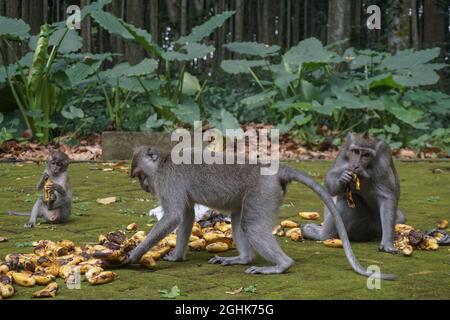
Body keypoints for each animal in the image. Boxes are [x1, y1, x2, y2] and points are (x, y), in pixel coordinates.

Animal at [125, 146, 394, 278]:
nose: (144, 186)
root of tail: (275, 170)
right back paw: (243, 258)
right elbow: (187, 215)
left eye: (140, 175)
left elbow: (173, 217)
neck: (163, 162)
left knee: (251, 226)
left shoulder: (167, 181)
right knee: (239, 219)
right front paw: (176, 256)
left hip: (264, 192)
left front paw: (132, 256)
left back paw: (280, 266)